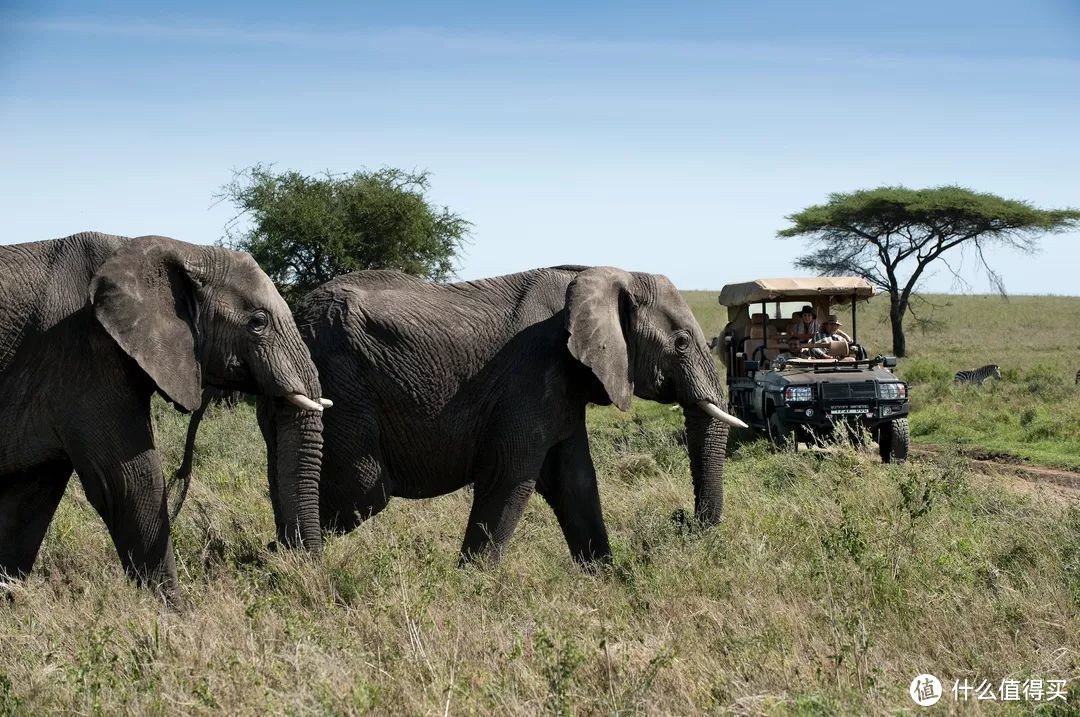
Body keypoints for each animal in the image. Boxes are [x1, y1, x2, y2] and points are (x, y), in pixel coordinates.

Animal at [0, 231, 328, 600]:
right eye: (258, 323)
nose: (277, 550)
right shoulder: (84, 354)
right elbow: (128, 480)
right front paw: (174, 611)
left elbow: (29, 498)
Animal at [254, 263, 743, 565]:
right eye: (682, 342)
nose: (681, 519)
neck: (600, 272)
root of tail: (297, 312)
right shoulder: (532, 373)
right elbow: (511, 476)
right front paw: (470, 591)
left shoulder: (562, 387)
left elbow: (576, 483)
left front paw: (607, 580)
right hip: (340, 382)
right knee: (363, 490)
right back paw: (282, 561)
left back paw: (271, 563)